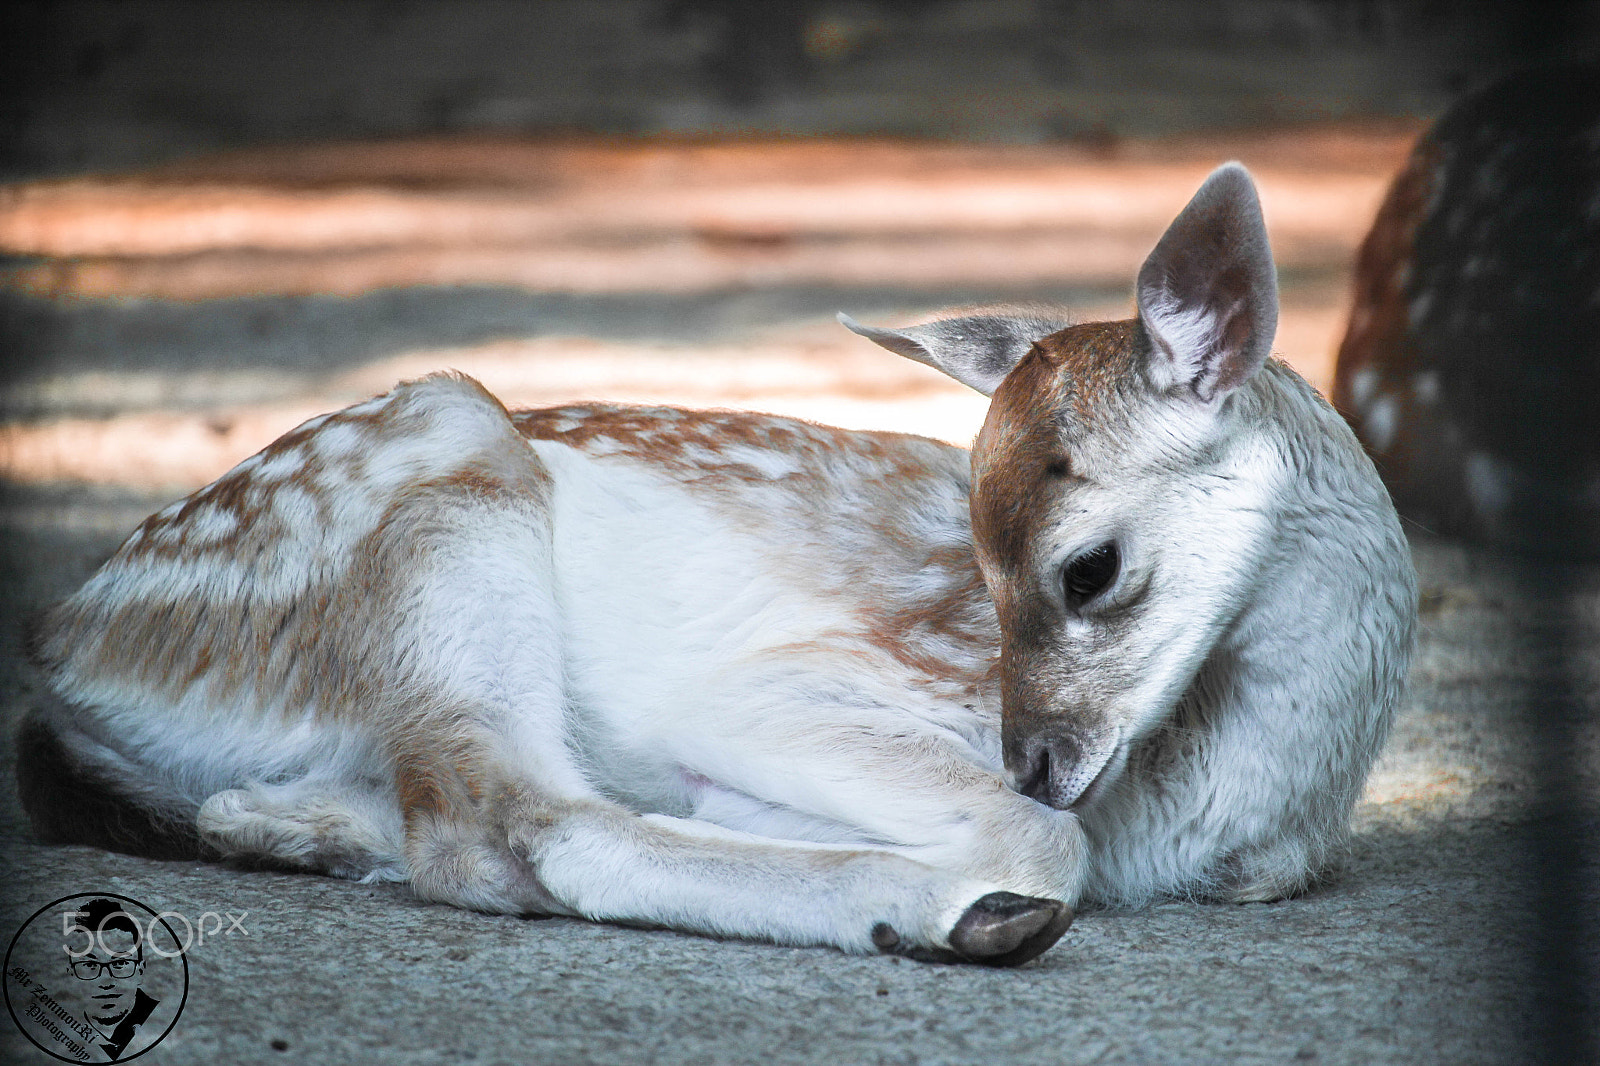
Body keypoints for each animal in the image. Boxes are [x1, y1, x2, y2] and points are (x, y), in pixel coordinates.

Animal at [16, 163, 1416, 967]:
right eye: (978, 567)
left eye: (1085, 568)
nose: (1033, 755)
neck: (1243, 811)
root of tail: (70, 643)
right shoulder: (774, 689)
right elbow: (1038, 838)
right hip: (448, 465)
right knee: (509, 822)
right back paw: (940, 913)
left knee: (406, 820)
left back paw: (285, 819)